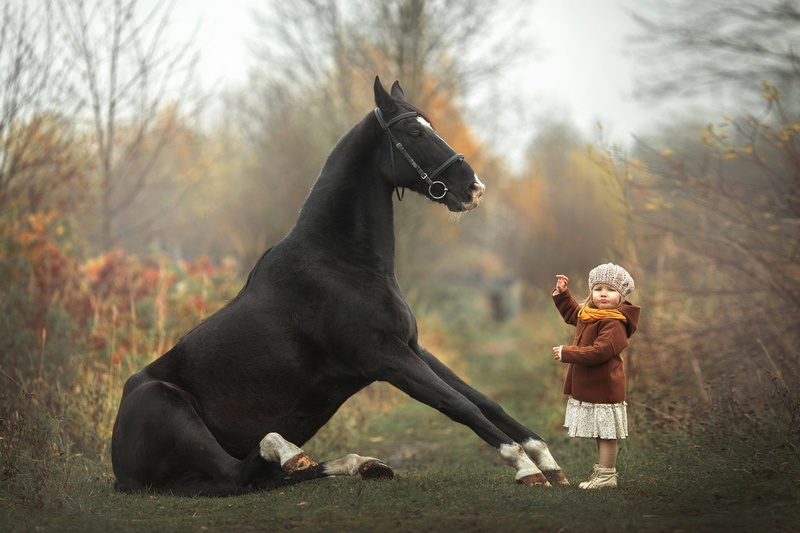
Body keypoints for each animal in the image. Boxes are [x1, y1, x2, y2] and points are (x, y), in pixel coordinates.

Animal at [111, 77, 568, 495]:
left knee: (266, 477)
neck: (342, 262)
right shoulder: (384, 357)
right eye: (415, 133)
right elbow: (458, 404)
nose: (473, 188)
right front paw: (525, 468)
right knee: (238, 474)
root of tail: (120, 471)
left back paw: (362, 464)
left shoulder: (412, 347)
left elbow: (483, 400)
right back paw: (290, 450)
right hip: (174, 411)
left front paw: (547, 461)